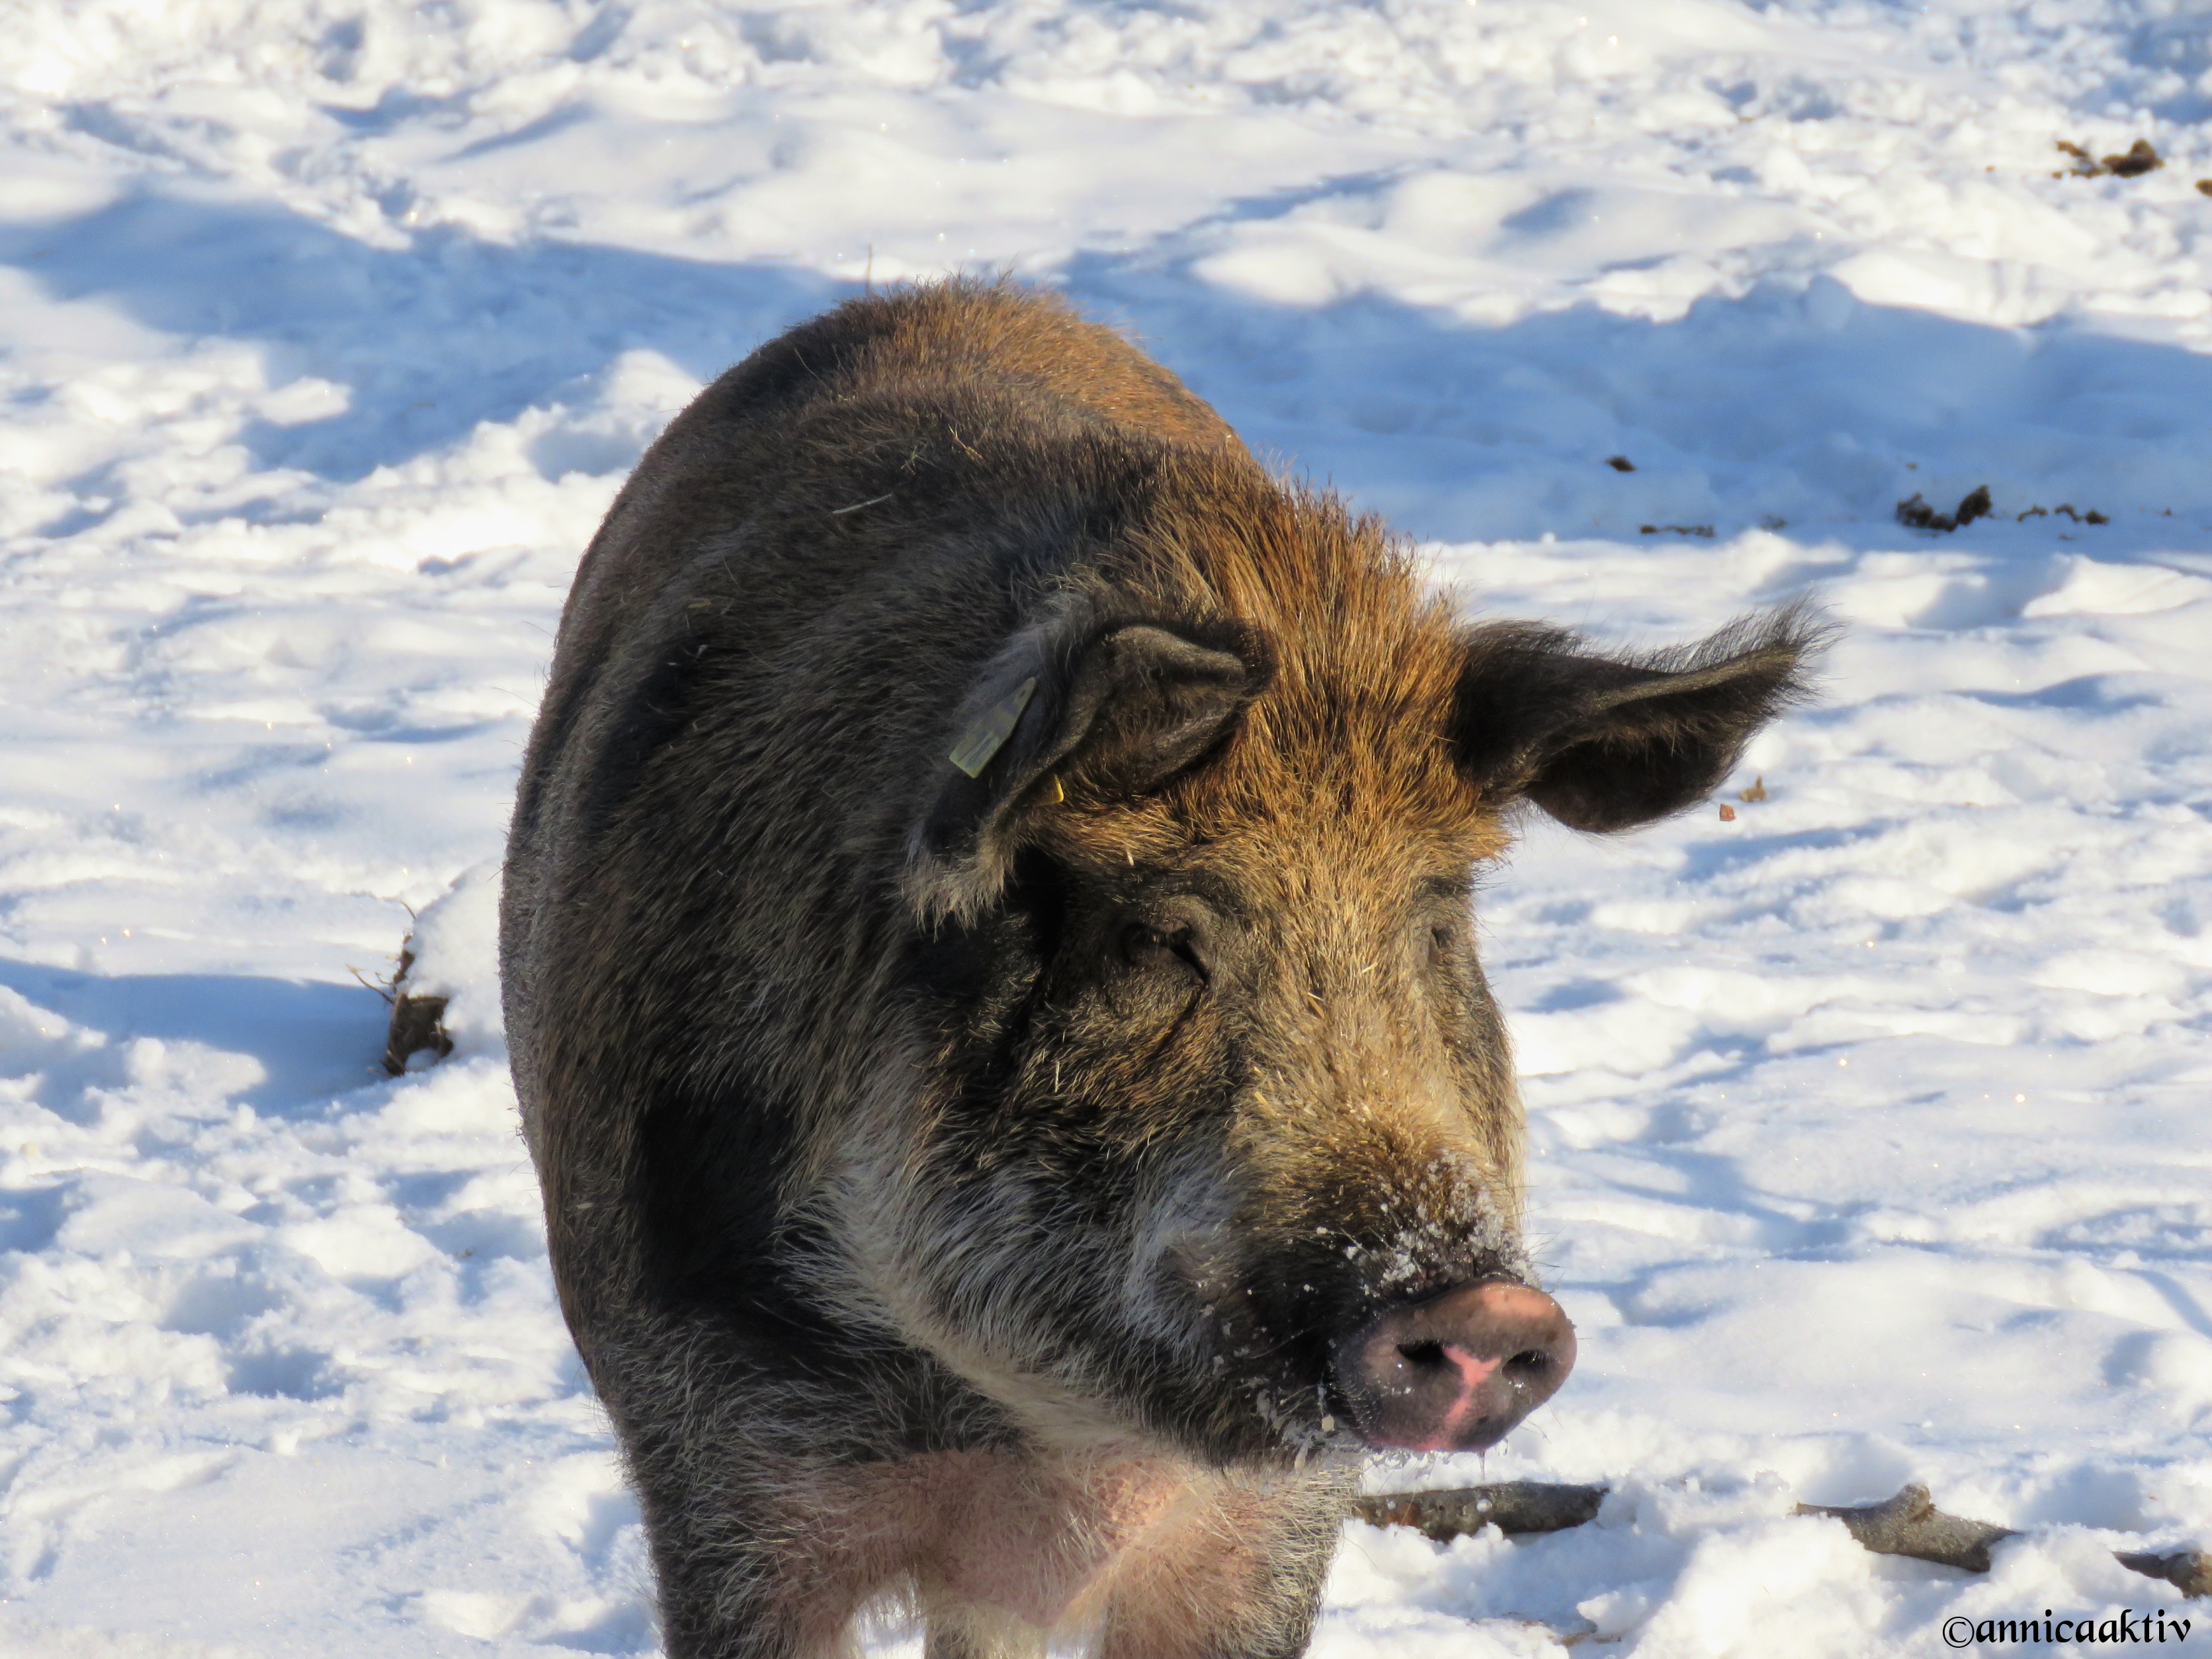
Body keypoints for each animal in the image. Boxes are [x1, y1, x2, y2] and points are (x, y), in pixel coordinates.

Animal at [499, 278, 1818, 1659]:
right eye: (1153, 933)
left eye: (1433, 918)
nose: (1478, 1310)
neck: (1052, 1442)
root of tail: (934, 296)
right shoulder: (725, 1462)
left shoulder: (1271, 1526)